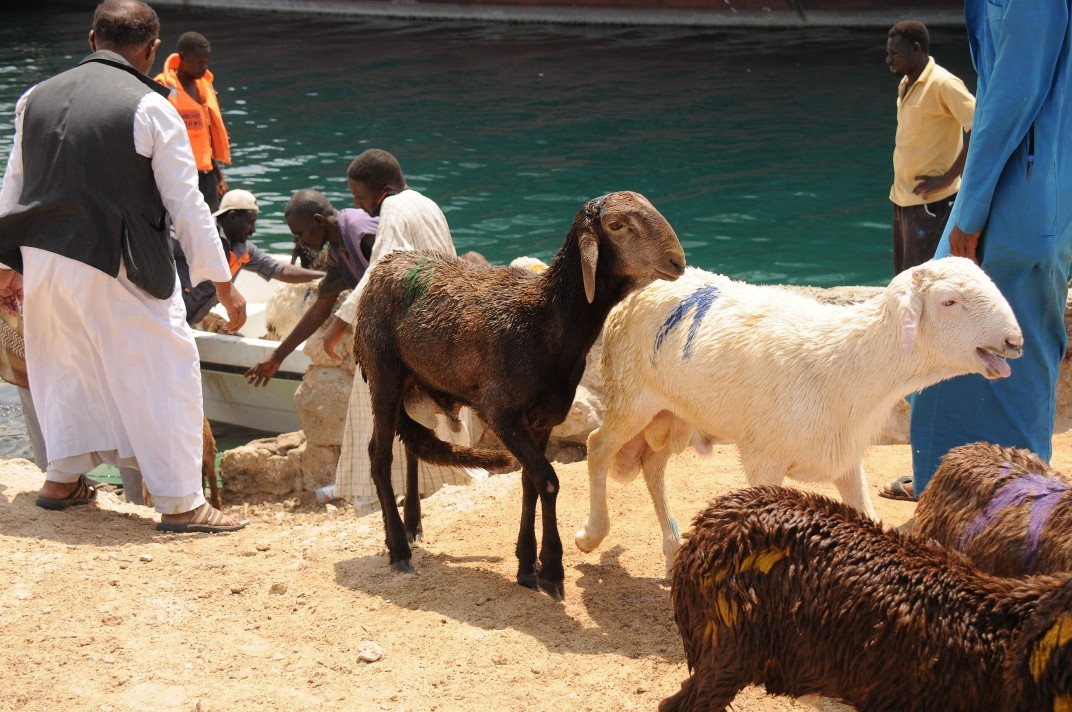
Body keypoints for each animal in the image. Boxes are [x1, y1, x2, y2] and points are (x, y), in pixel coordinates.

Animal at [578, 256, 1020, 574]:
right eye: (949, 301)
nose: (1015, 340)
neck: (846, 361)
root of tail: (647, 285)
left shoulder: (845, 456)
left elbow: (866, 514)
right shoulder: (764, 457)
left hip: (674, 413)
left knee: (652, 465)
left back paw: (672, 551)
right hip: (632, 395)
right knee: (597, 446)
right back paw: (591, 535)